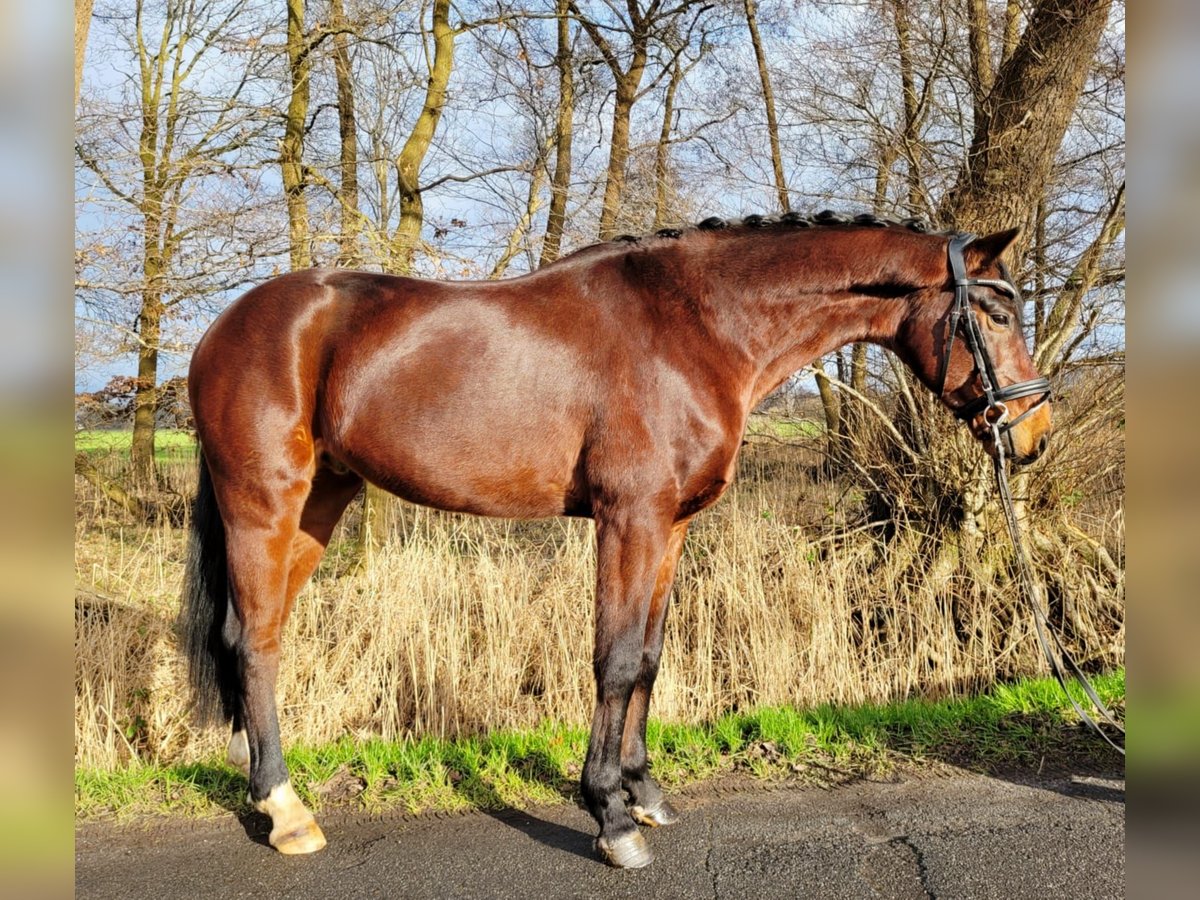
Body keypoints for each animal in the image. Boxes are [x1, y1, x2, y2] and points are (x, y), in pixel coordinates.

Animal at [177, 214, 1051, 868]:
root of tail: (225, 325)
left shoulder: (672, 526)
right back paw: (286, 811)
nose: (1035, 434)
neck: (697, 326)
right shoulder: (630, 518)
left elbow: (652, 658)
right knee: (253, 640)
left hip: (321, 502)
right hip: (264, 503)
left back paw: (268, 791)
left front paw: (646, 793)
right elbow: (616, 658)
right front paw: (610, 817)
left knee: (259, 637)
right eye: (997, 313)